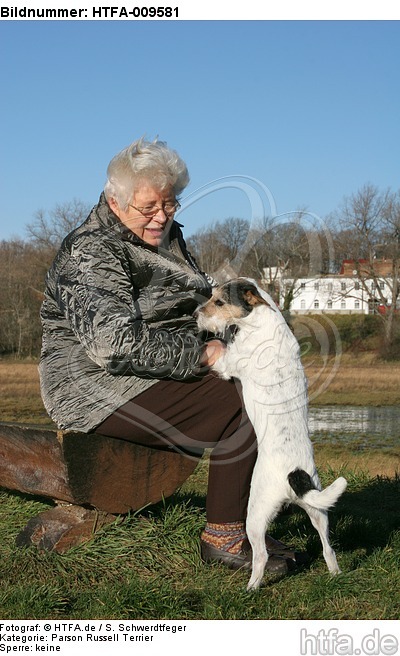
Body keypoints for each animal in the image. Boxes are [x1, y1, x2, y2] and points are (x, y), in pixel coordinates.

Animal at [197, 276, 346, 588]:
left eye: (219, 301)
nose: (195, 315)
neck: (261, 318)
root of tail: (294, 477)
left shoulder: (226, 364)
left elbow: (220, 349)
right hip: (318, 509)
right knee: (328, 547)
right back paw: (335, 573)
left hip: (256, 513)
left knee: (261, 556)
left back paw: (251, 587)